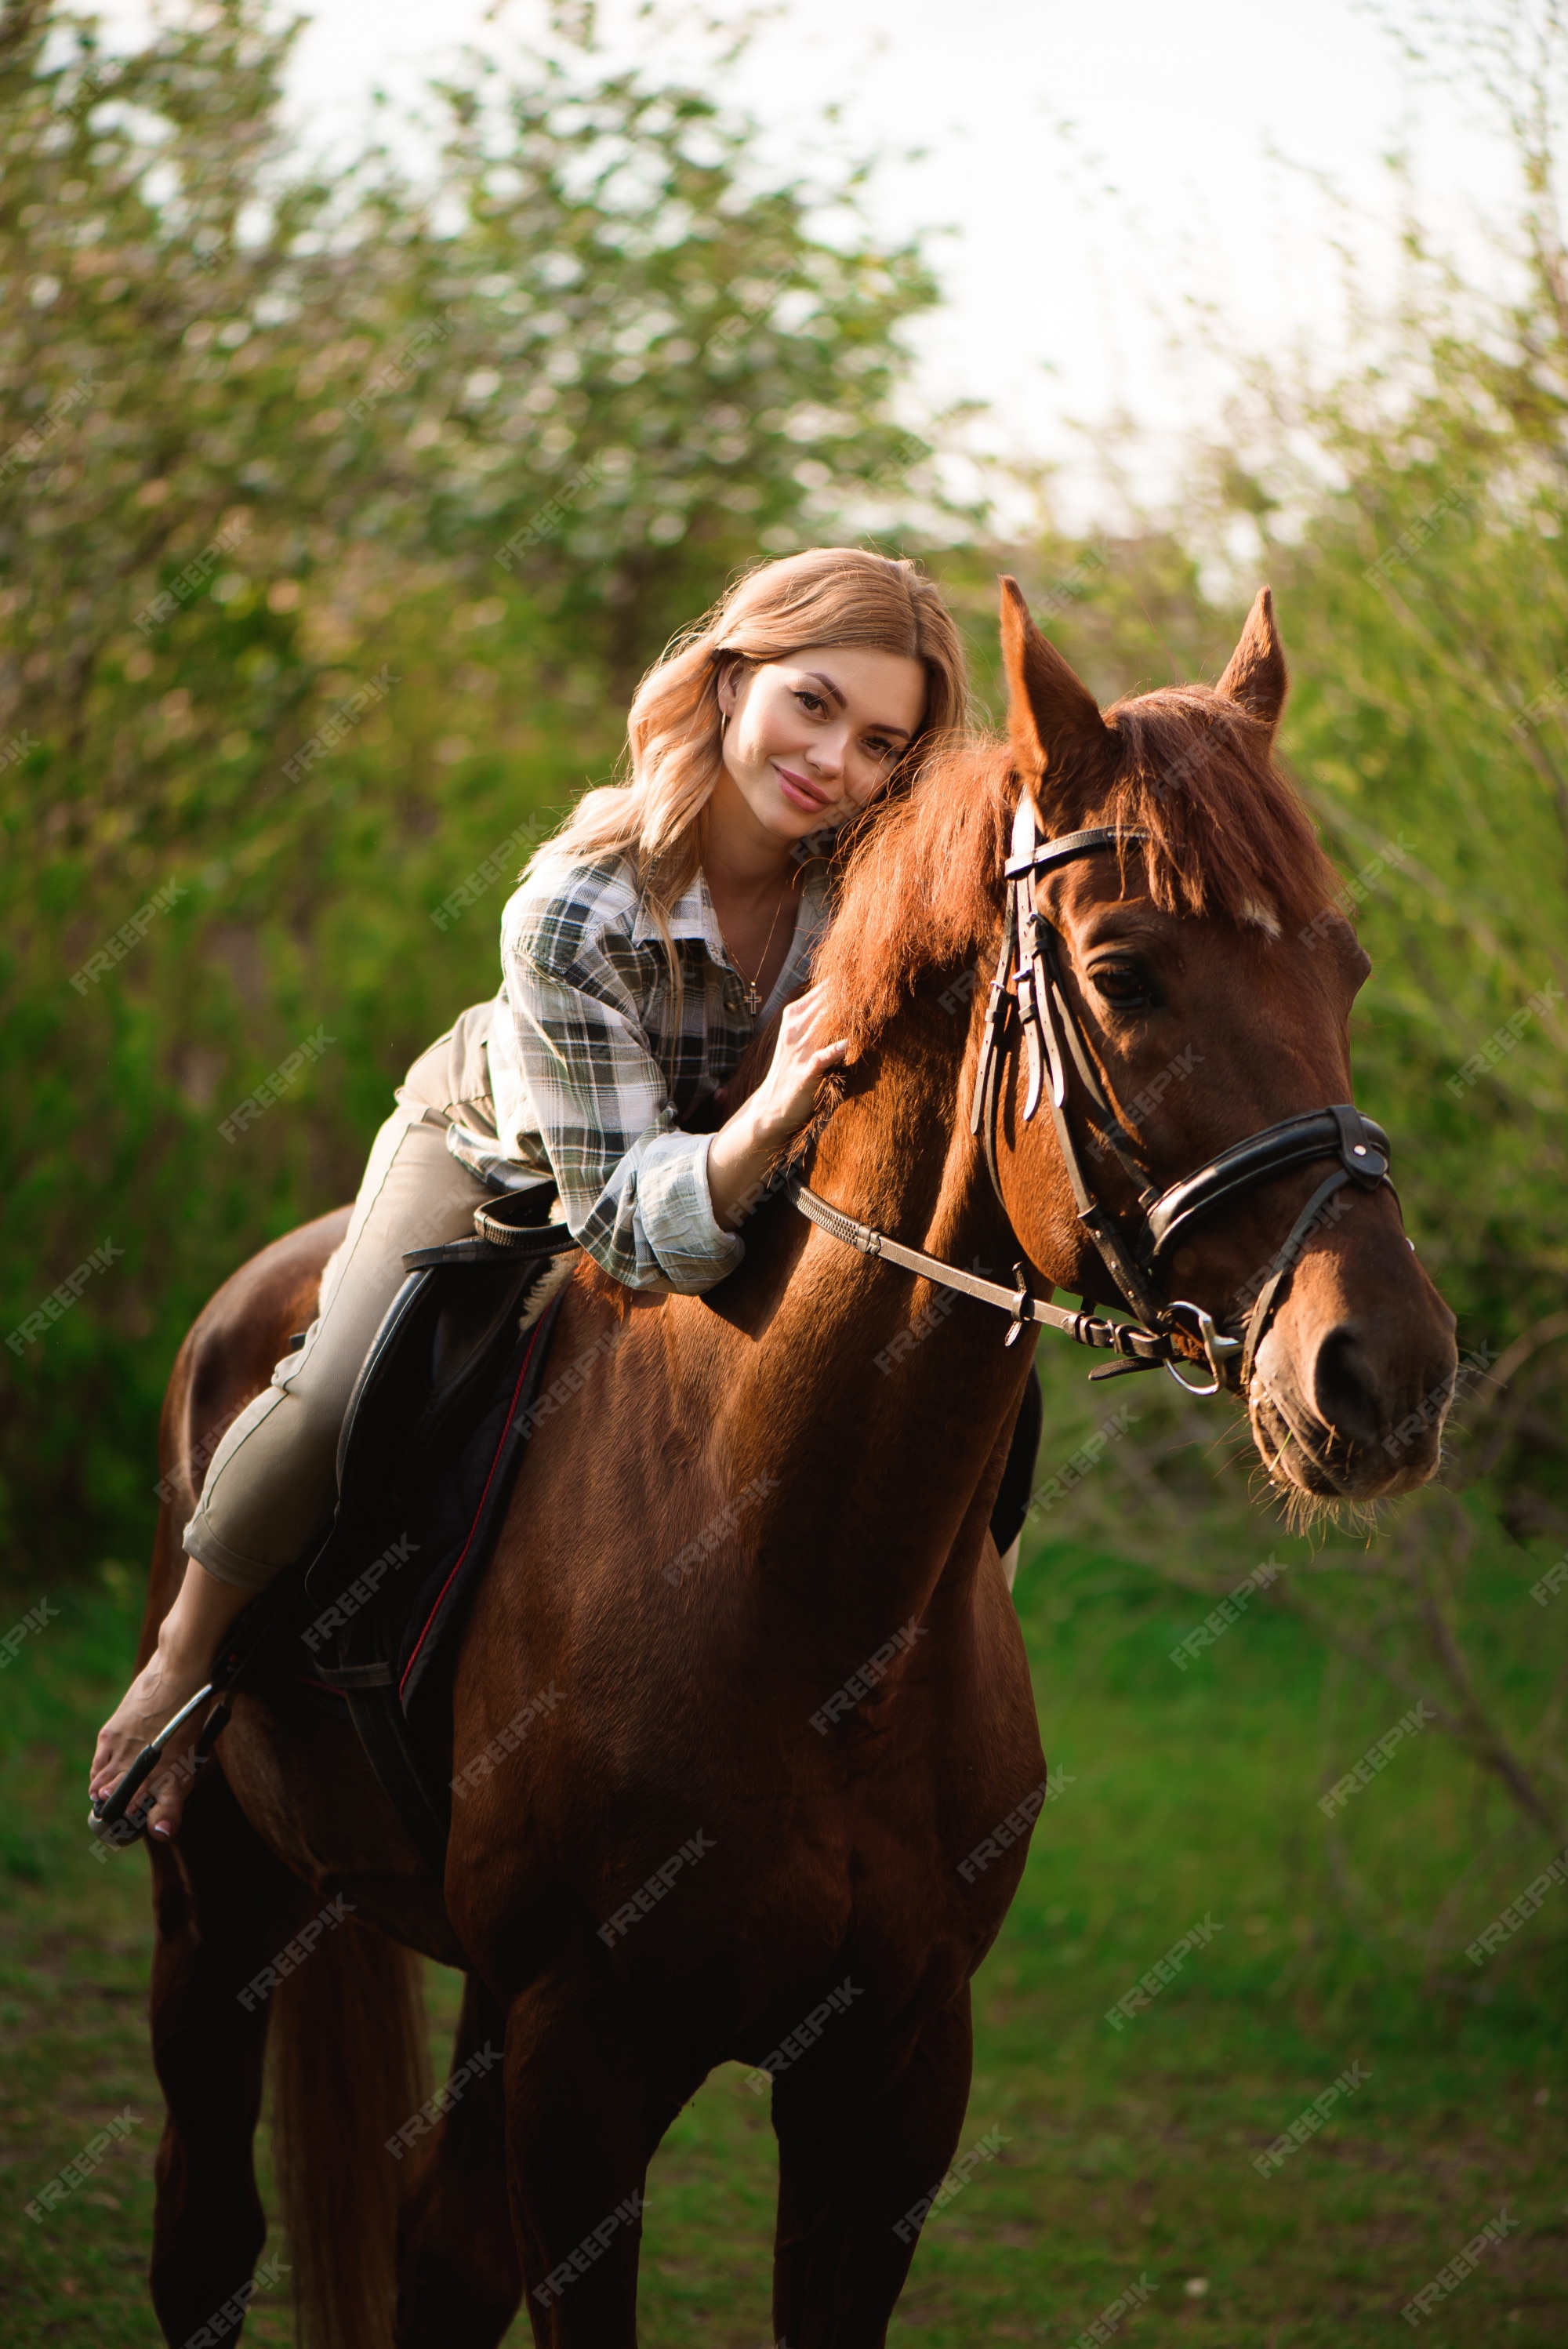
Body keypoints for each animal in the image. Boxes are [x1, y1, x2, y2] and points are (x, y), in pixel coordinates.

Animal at [131, 578, 1455, 2340]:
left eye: (1347, 964)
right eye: (1126, 972)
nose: (1385, 1370)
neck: (801, 1576)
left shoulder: (891, 2076)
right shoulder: (583, 2066)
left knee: (436, 2251)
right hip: (223, 1907)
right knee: (205, 2233)